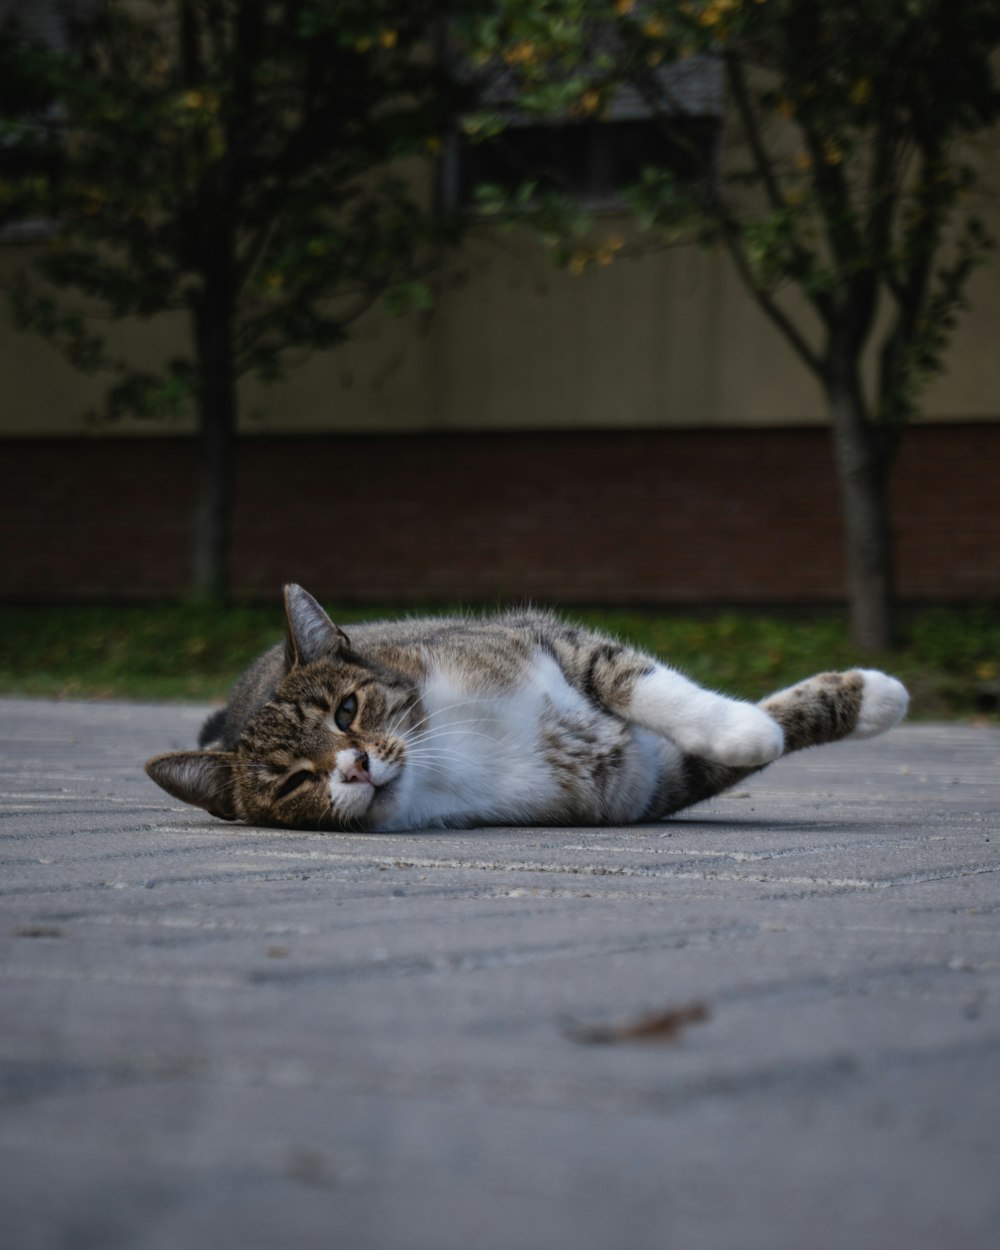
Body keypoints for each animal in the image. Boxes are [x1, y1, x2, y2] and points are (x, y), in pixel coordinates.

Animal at [144, 582, 910, 830]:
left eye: (346, 711)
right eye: (293, 782)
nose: (354, 766)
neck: (452, 751)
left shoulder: (546, 640)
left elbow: (643, 680)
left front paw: (870, 697)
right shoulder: (641, 786)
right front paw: (760, 731)